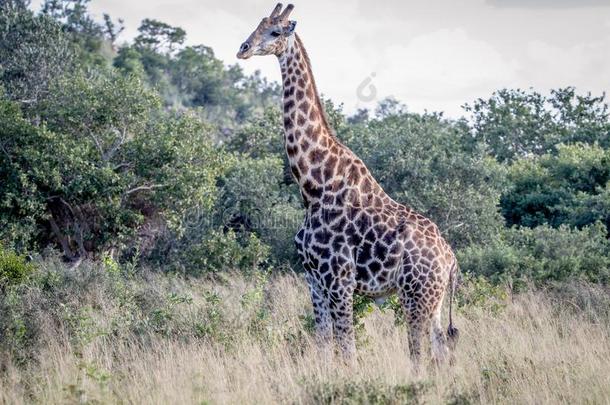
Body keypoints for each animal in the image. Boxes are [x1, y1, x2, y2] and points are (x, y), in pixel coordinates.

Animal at [236, 3, 456, 362]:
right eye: (258, 25)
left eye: (276, 31)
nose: (242, 48)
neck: (313, 185)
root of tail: (450, 259)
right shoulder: (313, 278)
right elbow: (324, 345)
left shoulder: (339, 279)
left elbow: (347, 350)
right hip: (432, 302)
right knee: (441, 353)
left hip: (416, 296)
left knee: (419, 355)